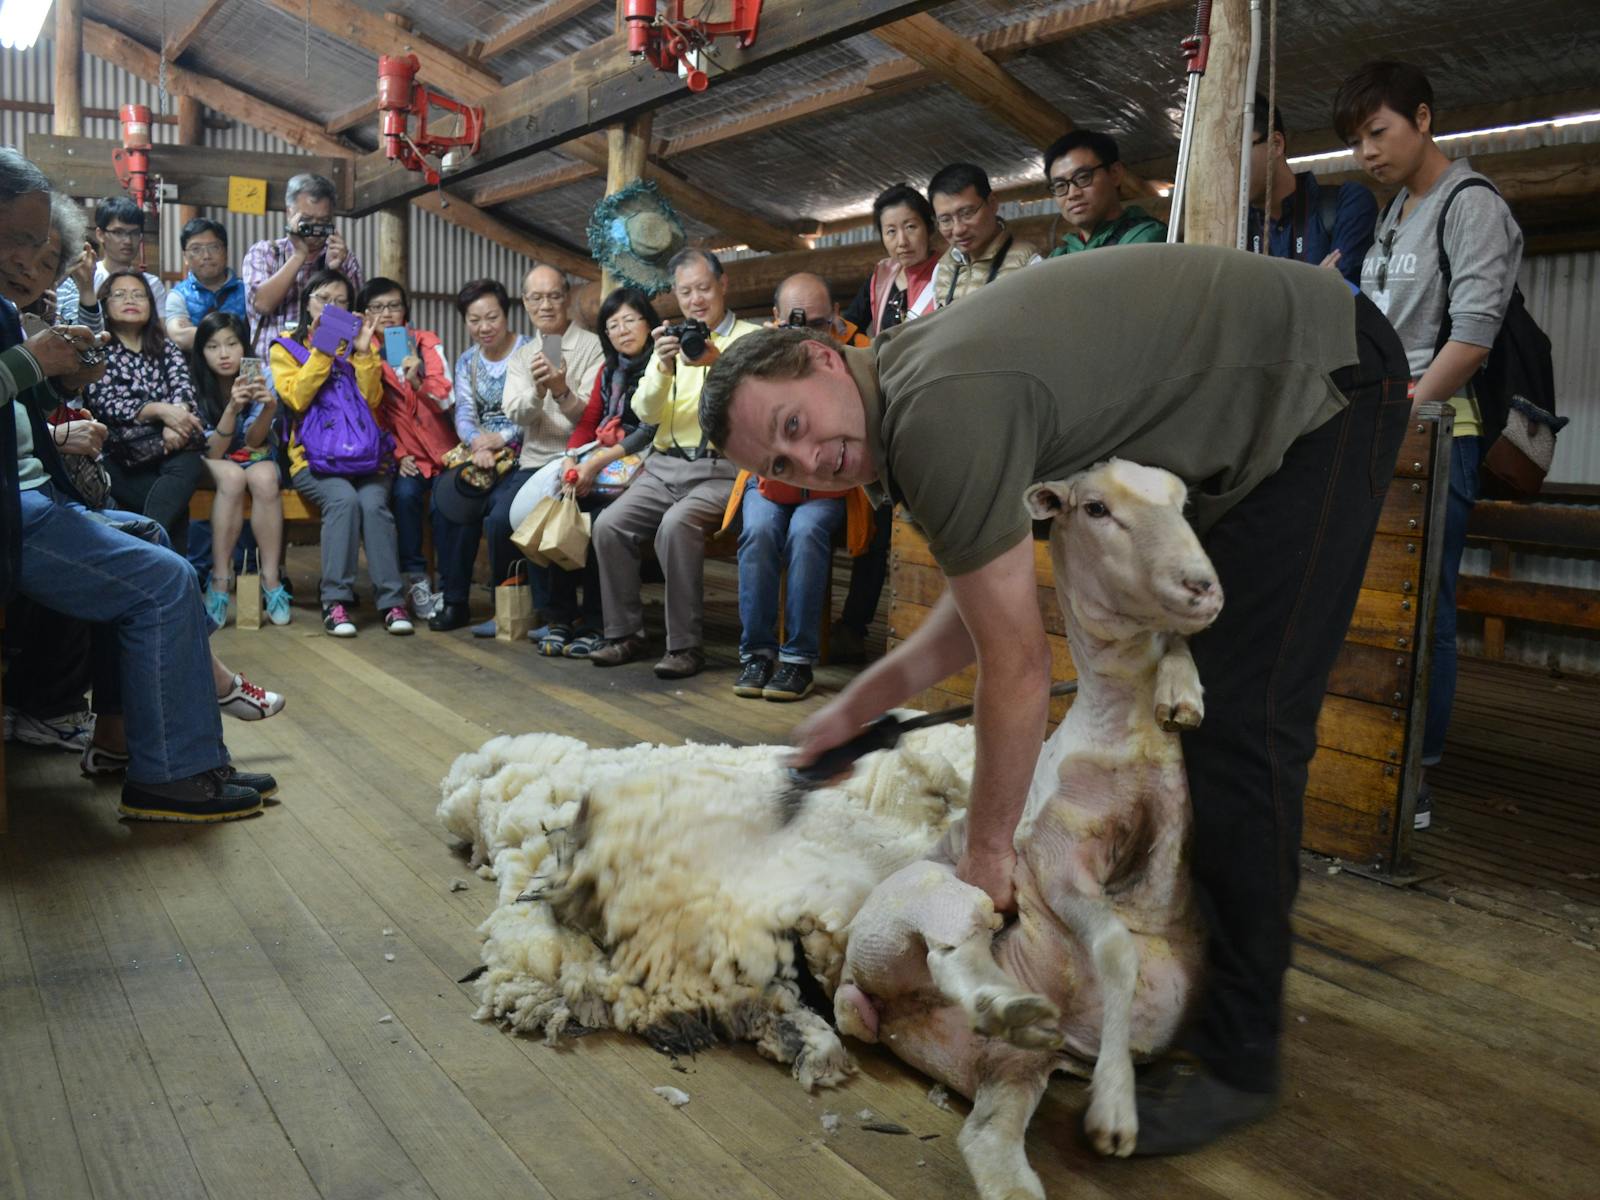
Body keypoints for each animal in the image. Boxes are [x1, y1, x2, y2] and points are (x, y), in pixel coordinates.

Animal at [832, 464, 1216, 1200]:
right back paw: (1004, 1000)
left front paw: (1182, 691)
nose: (1201, 584)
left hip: (1012, 1070)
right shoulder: (1053, 857)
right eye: (1095, 509)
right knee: (954, 945)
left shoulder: (1170, 841)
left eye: (1184, 504)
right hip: (911, 912)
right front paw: (1114, 1112)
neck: (1118, 726)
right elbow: (1117, 947)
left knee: (986, 1140)